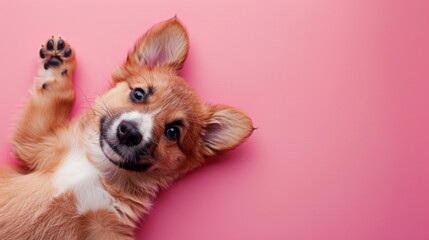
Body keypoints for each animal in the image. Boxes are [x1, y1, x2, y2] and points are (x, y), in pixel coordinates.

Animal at [0, 17, 254, 239]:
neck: (99, 170)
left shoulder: (107, 228)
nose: (130, 132)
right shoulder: (37, 141)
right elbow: (58, 96)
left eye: (172, 132)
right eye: (138, 94)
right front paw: (57, 64)